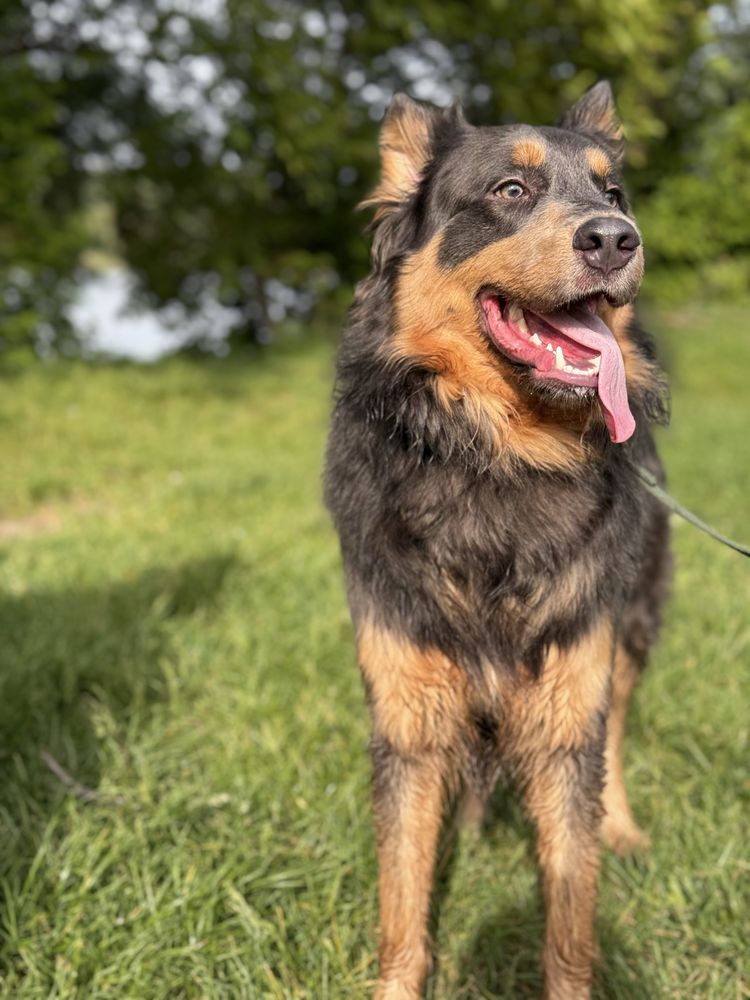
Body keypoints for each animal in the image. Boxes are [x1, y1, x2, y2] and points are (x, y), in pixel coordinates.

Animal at [326, 82, 672, 996]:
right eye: (510, 191)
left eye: (613, 193)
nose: (615, 239)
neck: (499, 460)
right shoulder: (408, 717)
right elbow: (403, 906)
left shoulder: (567, 704)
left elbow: (570, 912)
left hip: (632, 625)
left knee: (616, 729)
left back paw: (624, 824)